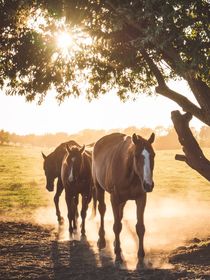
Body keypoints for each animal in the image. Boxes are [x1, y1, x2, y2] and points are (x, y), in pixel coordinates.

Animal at [92, 132, 156, 268]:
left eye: (153, 155)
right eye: (136, 156)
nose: (148, 184)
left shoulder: (141, 198)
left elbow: (140, 227)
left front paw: (140, 257)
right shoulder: (114, 198)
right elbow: (116, 226)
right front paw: (117, 257)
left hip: (123, 200)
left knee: (120, 215)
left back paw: (117, 244)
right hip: (99, 188)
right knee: (102, 210)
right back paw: (102, 240)